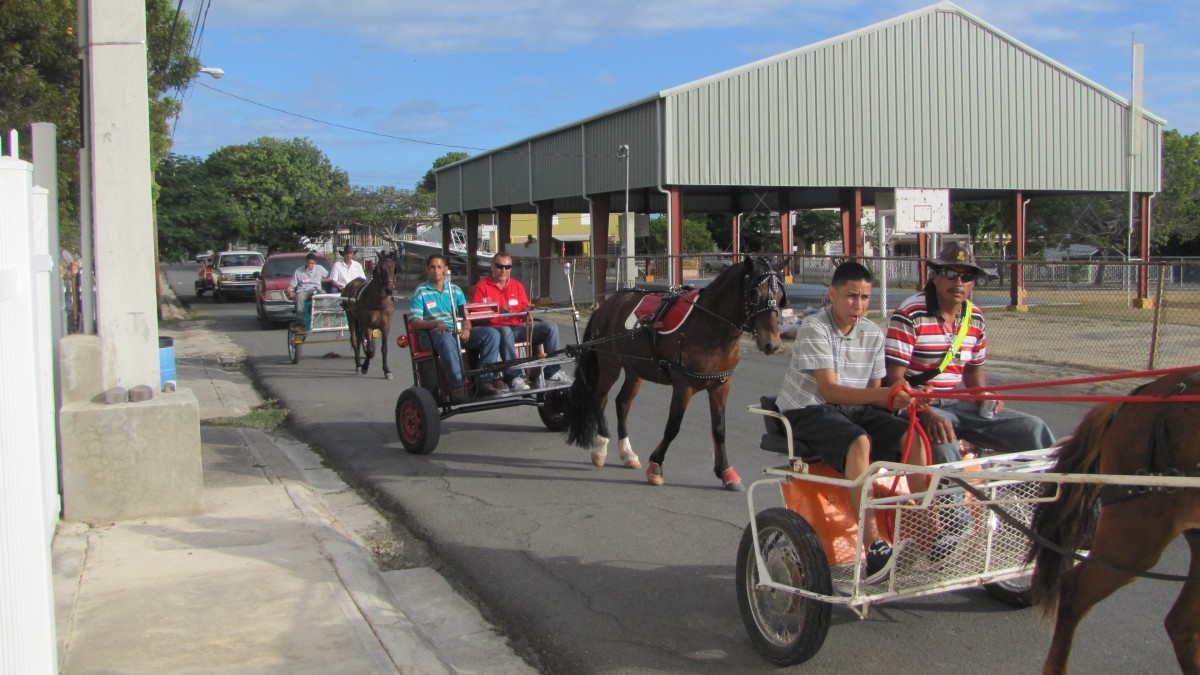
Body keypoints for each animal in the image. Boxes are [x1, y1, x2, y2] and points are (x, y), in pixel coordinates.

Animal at [343, 251, 398, 379]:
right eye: (381, 269)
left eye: (394, 268)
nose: (389, 290)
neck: (379, 301)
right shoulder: (367, 326)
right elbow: (369, 350)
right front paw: (364, 367)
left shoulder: (386, 326)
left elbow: (384, 349)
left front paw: (386, 370)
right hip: (351, 317)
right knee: (355, 339)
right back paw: (358, 364)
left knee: (359, 339)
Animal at [564, 255, 787, 487]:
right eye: (754, 294)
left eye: (781, 296)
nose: (772, 343)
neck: (709, 324)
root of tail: (607, 305)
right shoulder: (683, 386)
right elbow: (673, 427)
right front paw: (656, 465)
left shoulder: (721, 385)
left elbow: (719, 429)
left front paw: (726, 471)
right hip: (610, 364)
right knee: (600, 399)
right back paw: (600, 447)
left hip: (635, 369)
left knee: (622, 403)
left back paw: (627, 452)